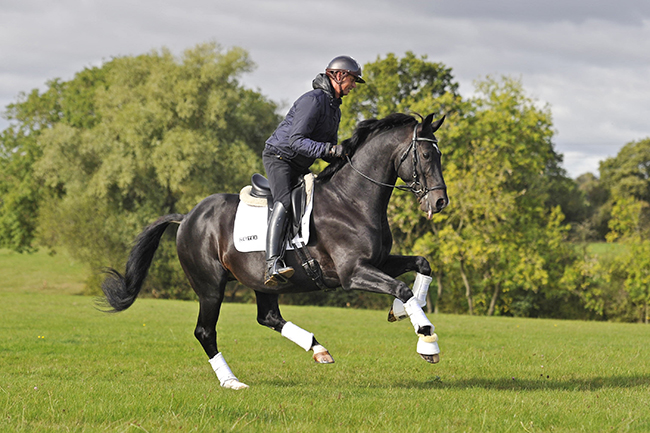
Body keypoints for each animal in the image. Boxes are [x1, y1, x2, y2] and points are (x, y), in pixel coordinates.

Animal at [102, 112, 446, 388]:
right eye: (426, 154)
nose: (440, 201)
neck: (351, 200)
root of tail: (187, 217)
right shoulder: (353, 273)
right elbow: (401, 287)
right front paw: (427, 340)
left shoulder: (379, 261)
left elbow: (421, 264)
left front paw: (401, 311)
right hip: (210, 288)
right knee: (205, 332)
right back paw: (231, 381)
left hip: (262, 281)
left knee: (268, 317)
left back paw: (318, 349)